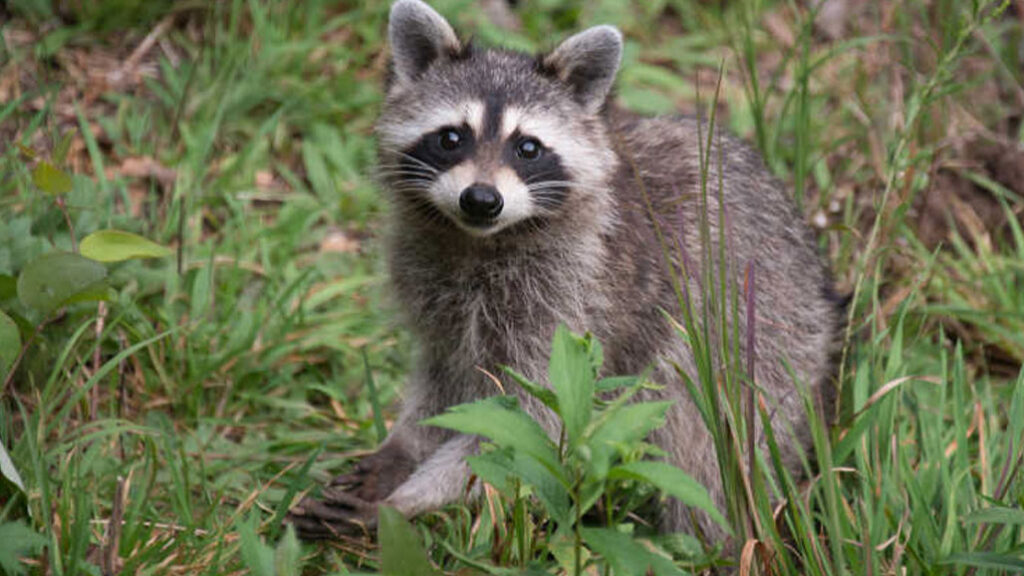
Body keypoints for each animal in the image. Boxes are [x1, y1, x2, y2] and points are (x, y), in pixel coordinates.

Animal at [286, 0, 843, 542]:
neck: (480, 241)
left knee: (706, 455)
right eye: (450, 138)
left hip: (766, 342)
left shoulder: (571, 303)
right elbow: (444, 383)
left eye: (527, 147)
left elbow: (531, 425)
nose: (481, 199)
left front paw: (408, 500)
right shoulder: (433, 286)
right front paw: (403, 448)